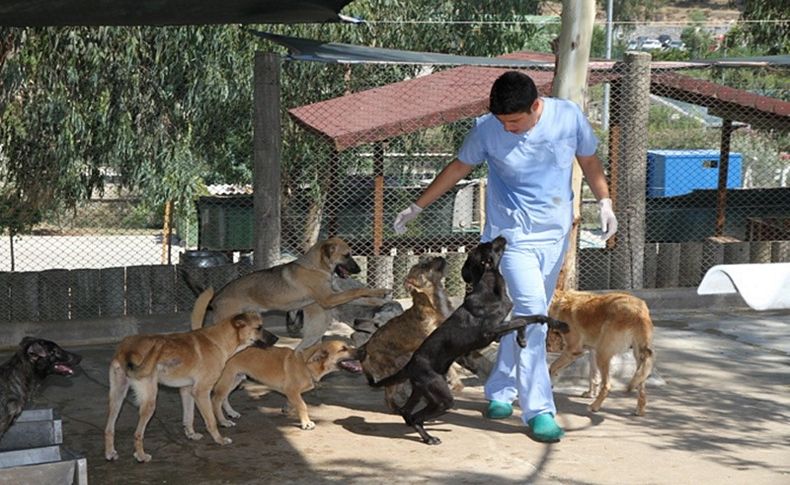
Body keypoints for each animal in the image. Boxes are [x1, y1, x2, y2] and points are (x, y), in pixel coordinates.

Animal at [103, 310, 280, 462]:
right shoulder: (201, 392)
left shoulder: (187, 390)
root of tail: (127, 349)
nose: (277, 339)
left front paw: (191, 434)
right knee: (137, 433)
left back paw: (110, 453)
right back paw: (140, 456)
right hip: (149, 402)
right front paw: (219, 440)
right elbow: (211, 420)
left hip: (117, 398)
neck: (220, 340)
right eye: (259, 327)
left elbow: (189, 417)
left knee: (109, 428)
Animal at [189, 236, 392, 338]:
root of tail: (217, 297)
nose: (359, 269)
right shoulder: (328, 299)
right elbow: (356, 290)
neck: (317, 267)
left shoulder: (336, 294)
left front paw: (380, 296)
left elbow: (363, 297)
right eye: (347, 255)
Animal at [209, 336, 360, 428]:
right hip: (227, 379)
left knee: (224, 398)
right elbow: (303, 405)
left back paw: (231, 413)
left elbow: (294, 403)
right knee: (216, 400)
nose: (362, 351)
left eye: (348, 346)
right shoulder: (292, 391)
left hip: (235, 379)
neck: (305, 365)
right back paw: (223, 421)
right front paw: (306, 423)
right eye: (343, 349)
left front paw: (288, 407)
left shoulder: (292, 393)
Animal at [358, 255, 458, 410]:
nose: (439, 256)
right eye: (424, 265)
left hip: (403, 362)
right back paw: (397, 408)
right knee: (388, 395)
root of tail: (367, 346)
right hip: (392, 367)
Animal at [372, 236, 568, 444]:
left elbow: (532, 317)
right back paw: (429, 438)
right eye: (491, 245)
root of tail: (410, 364)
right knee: (417, 416)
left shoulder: (503, 326)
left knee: (407, 412)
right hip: (441, 397)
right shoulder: (490, 332)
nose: (502, 236)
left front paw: (555, 325)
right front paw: (522, 338)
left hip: (421, 391)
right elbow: (522, 320)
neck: (490, 288)